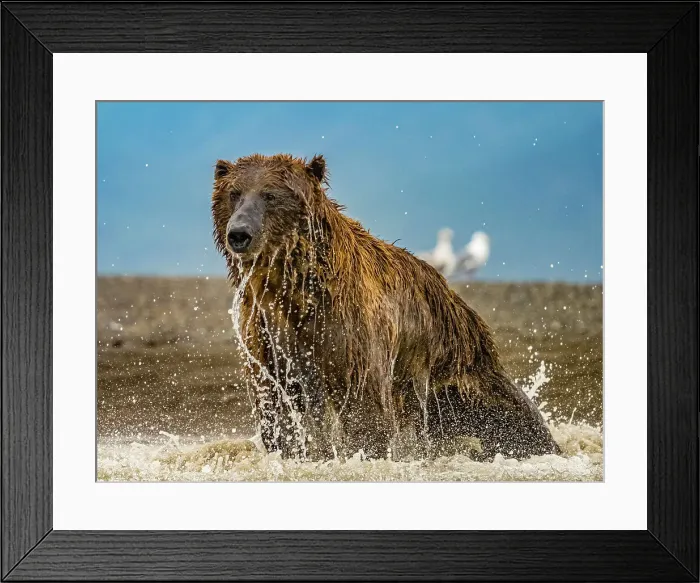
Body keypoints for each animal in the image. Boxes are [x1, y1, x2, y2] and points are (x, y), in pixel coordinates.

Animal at [212, 153, 561, 462]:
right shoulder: (266, 338)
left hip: (453, 369)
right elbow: (277, 411)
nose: (239, 234)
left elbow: (366, 412)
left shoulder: (350, 335)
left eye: (270, 195)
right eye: (234, 193)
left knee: (509, 414)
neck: (294, 287)